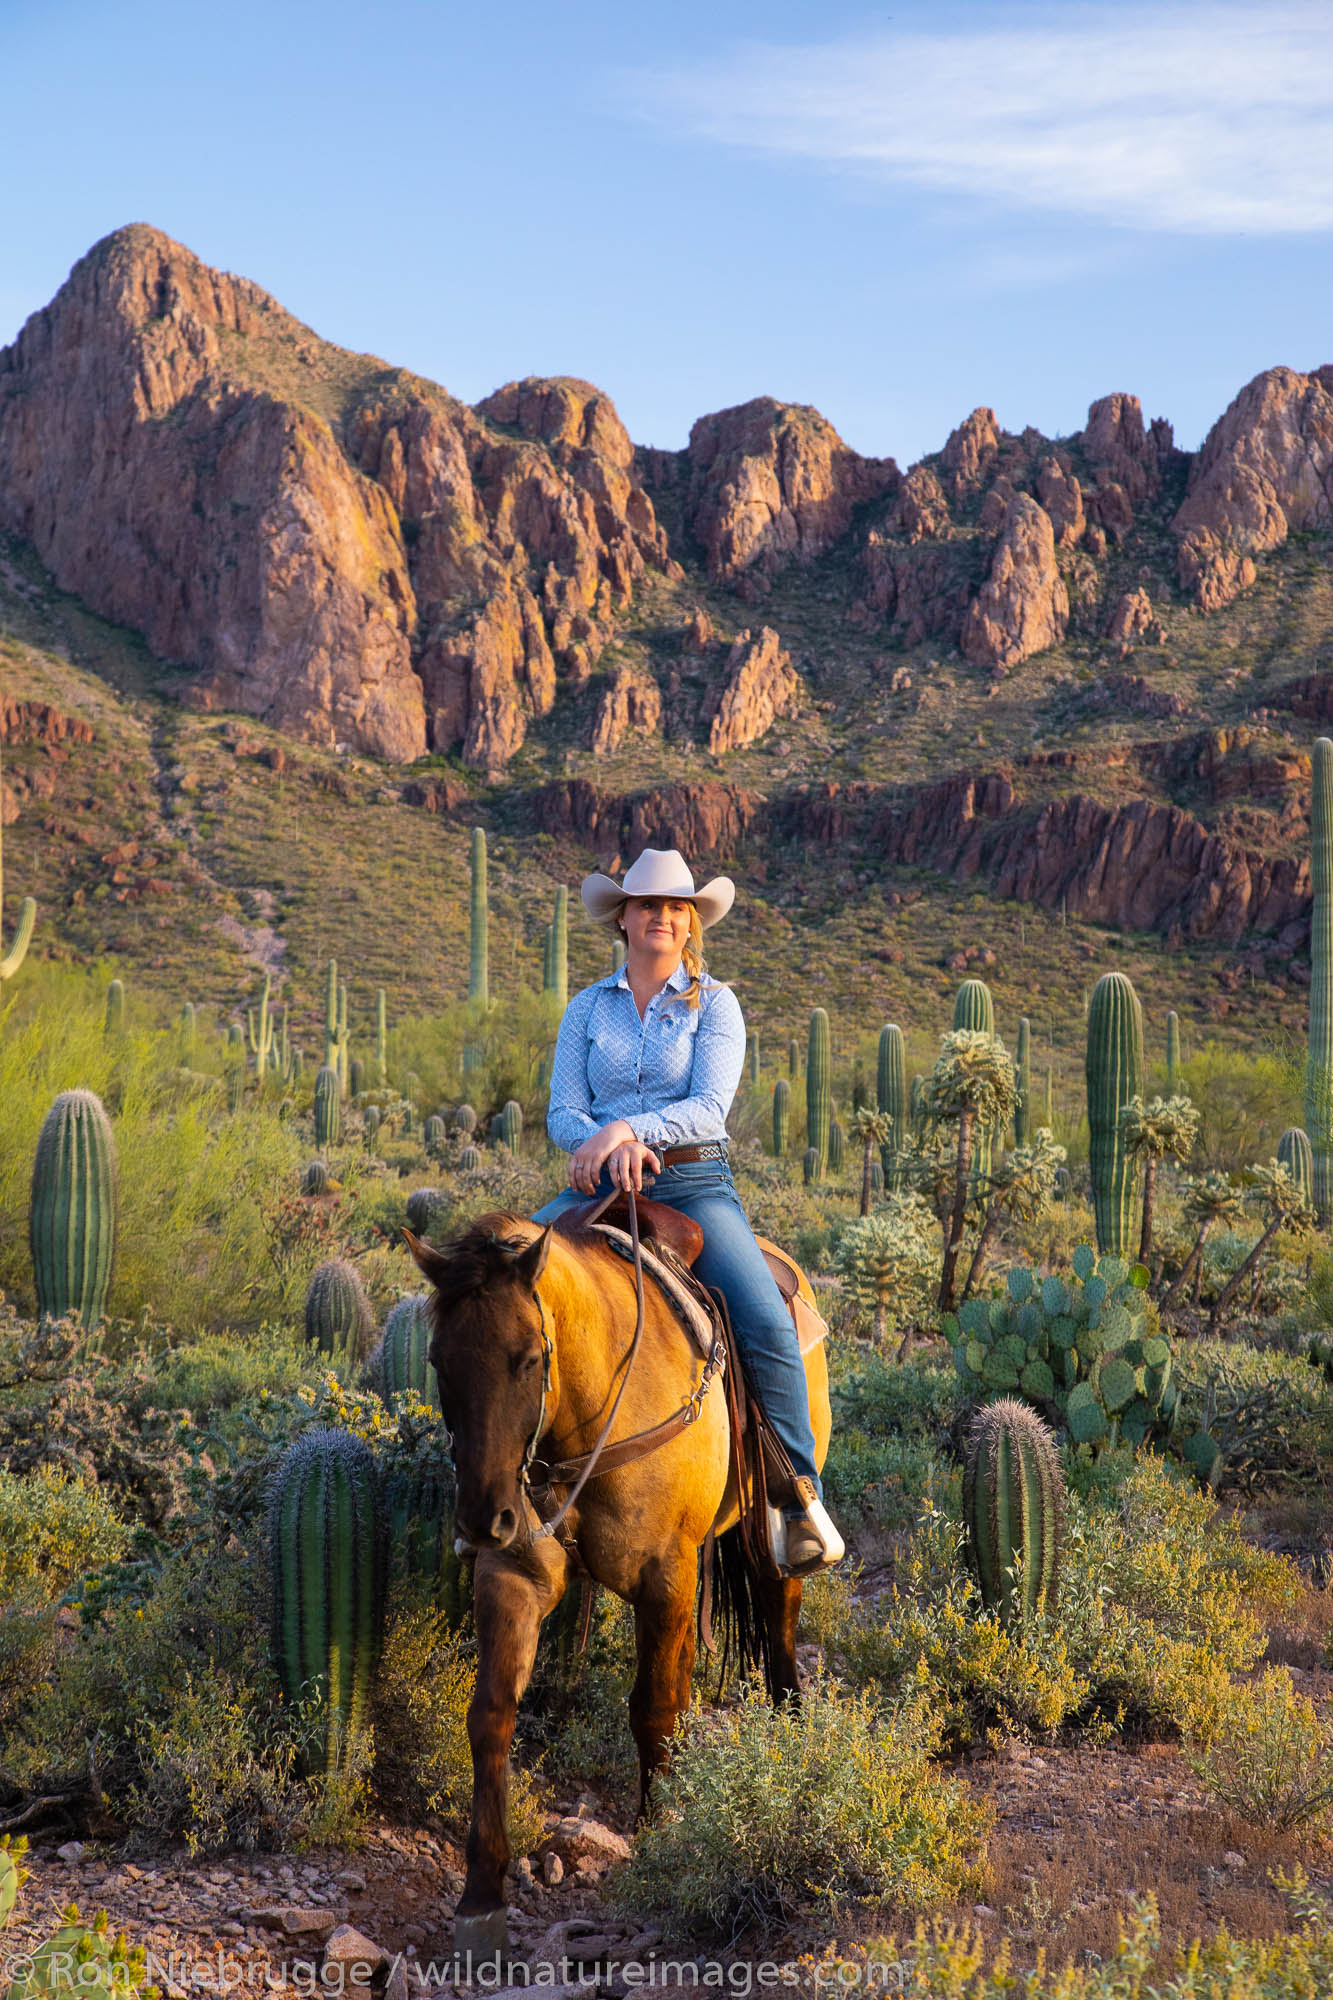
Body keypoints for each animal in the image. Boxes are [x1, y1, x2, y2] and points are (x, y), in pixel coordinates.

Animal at [402, 1200, 832, 1952]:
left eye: (528, 1358)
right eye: (438, 1362)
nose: (484, 1519)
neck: (588, 1413)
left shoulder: (664, 1574)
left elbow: (652, 1706)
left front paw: (658, 1836)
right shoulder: (514, 1575)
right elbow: (491, 1714)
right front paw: (481, 1895)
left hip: (762, 1523)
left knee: (778, 1612)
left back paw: (788, 1738)